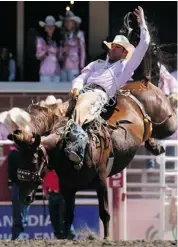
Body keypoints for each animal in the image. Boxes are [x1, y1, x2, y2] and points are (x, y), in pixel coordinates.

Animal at [9, 79, 177, 239]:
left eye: (33, 161)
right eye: (18, 161)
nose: (23, 197)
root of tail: (142, 82)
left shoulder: (101, 183)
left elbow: (104, 213)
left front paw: (107, 237)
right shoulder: (67, 189)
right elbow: (68, 218)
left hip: (168, 124)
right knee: (149, 132)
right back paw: (155, 146)